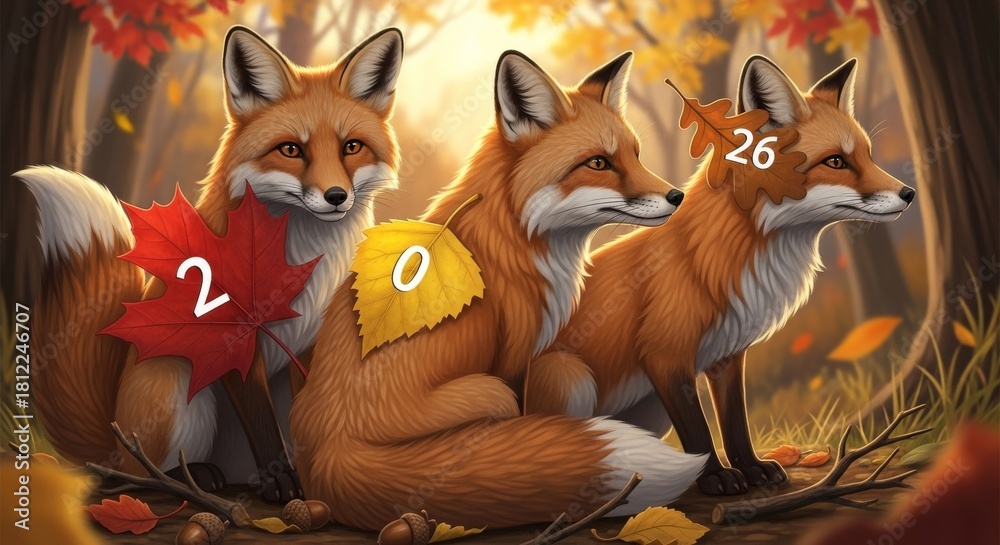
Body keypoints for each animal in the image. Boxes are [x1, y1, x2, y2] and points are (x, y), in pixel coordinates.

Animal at [16, 25, 404, 502]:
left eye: (352, 147)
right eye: (291, 150)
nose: (336, 196)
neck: (306, 257)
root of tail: (112, 436)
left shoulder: (314, 345)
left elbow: (307, 417)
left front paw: (313, 477)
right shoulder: (234, 340)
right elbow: (263, 426)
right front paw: (281, 480)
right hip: (177, 388)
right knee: (142, 471)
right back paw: (192, 476)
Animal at [289, 50, 704, 531]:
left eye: (636, 155)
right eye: (599, 163)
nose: (676, 197)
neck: (514, 234)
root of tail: (328, 450)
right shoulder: (514, 361)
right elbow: (529, 424)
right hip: (494, 392)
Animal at [525, 55, 916, 496]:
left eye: (868, 156)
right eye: (836, 161)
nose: (909, 193)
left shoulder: (728, 354)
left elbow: (735, 423)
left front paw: (752, 468)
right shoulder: (667, 355)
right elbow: (698, 433)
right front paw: (714, 476)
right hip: (570, 377)